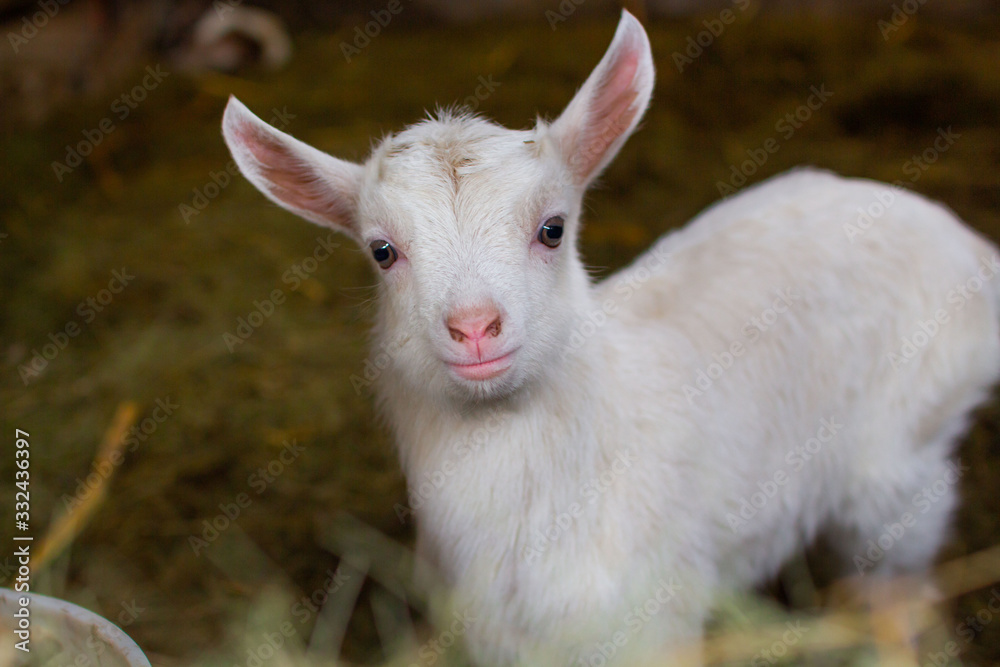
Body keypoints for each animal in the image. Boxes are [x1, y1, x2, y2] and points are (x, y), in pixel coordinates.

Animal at [222, 10, 1000, 665]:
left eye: (553, 228)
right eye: (381, 250)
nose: (474, 327)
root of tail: (968, 246)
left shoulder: (658, 619)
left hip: (903, 459)